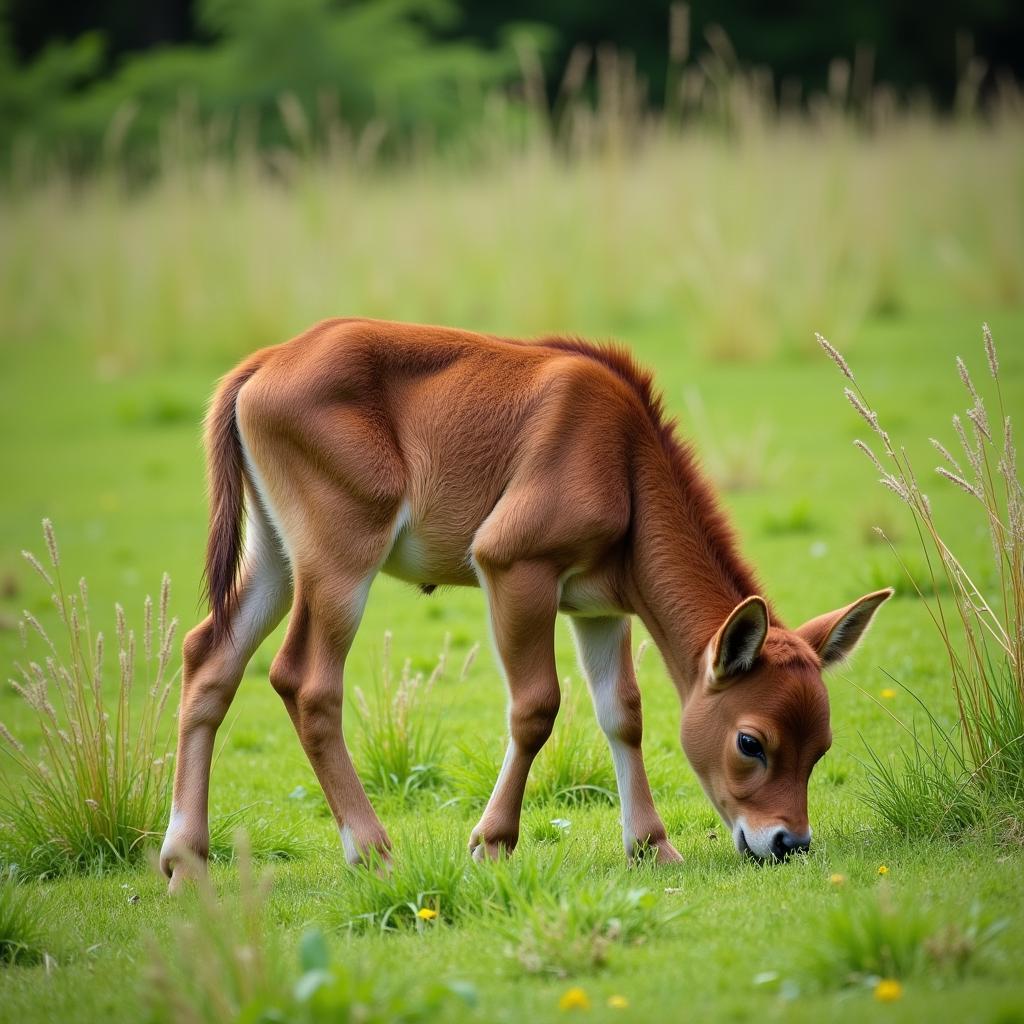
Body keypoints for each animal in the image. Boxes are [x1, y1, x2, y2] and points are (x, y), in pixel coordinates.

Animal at [157, 317, 888, 888]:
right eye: (750, 742)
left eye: (821, 746)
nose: (788, 842)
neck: (623, 457)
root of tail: (263, 364)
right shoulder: (514, 569)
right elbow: (537, 707)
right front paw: (492, 842)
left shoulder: (600, 610)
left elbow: (623, 712)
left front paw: (652, 846)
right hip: (339, 560)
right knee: (305, 682)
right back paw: (372, 850)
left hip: (276, 559)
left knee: (209, 657)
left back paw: (185, 859)